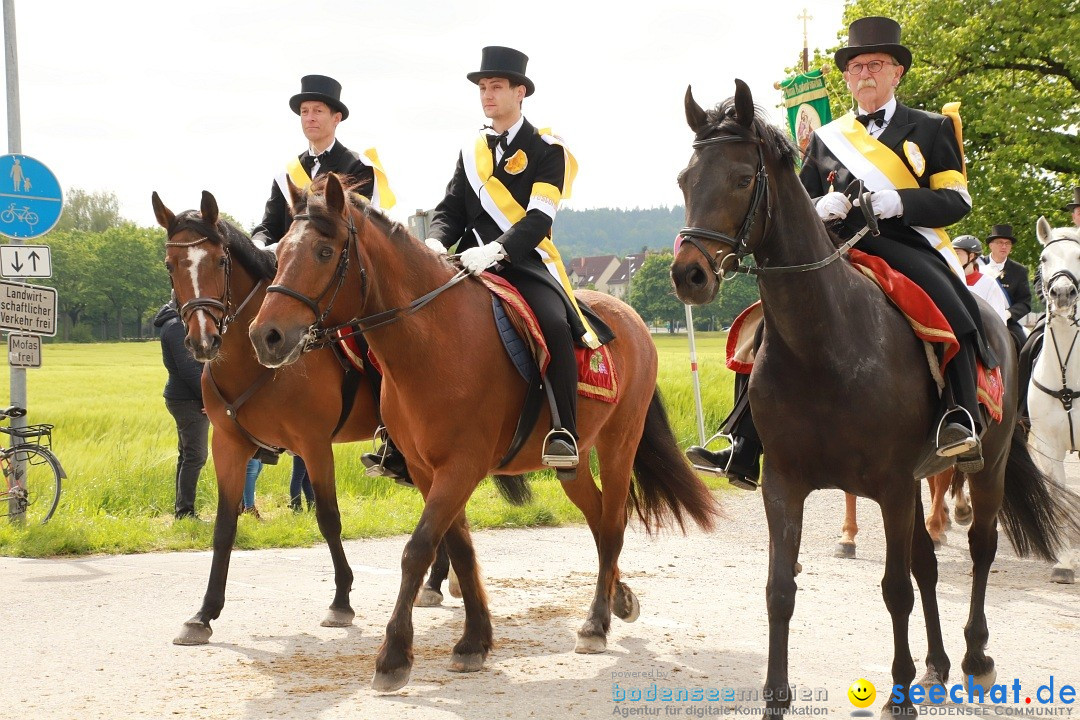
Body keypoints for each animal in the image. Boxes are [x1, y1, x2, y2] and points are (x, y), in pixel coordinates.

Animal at [152, 189, 527, 643]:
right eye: (170, 265)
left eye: (220, 261)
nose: (202, 339)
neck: (253, 364)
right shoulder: (228, 446)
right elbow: (224, 529)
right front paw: (204, 614)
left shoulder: (313, 446)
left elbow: (328, 519)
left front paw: (341, 601)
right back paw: (439, 581)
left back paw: (439, 582)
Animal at [245, 174, 717, 690]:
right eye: (280, 250)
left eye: (325, 251)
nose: (265, 336)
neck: (431, 338)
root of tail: (631, 317)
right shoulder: (427, 470)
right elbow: (460, 548)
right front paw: (474, 641)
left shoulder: (461, 466)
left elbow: (418, 549)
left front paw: (394, 656)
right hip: (571, 466)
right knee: (597, 521)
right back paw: (618, 597)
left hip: (618, 447)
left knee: (612, 525)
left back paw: (596, 623)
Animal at [669, 81, 1075, 716]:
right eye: (686, 179)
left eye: (739, 178)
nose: (688, 275)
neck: (823, 342)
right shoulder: (786, 483)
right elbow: (781, 589)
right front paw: (777, 697)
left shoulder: (890, 485)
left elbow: (894, 589)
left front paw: (898, 693)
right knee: (929, 567)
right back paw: (936, 664)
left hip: (987, 463)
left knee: (980, 549)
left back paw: (974, 657)